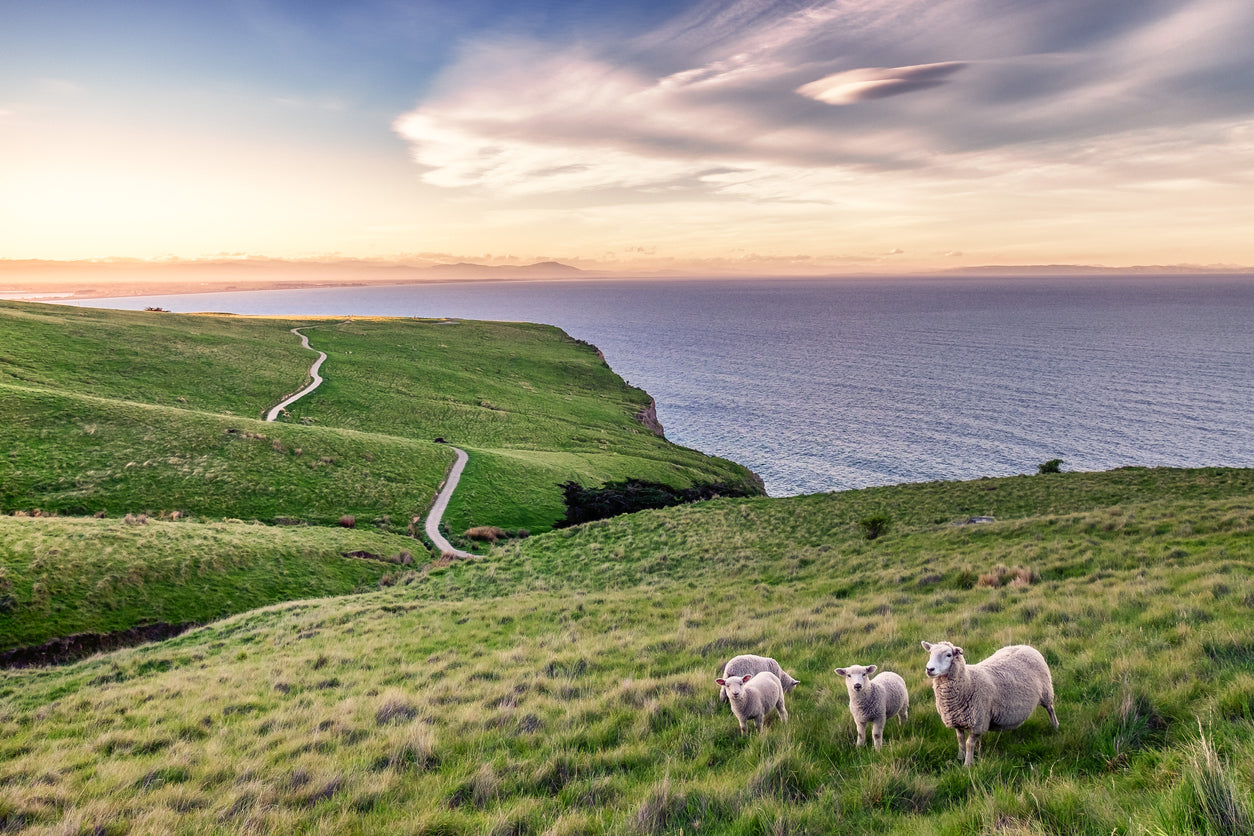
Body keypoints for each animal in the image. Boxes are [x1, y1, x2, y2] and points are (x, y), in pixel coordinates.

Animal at [922, 641, 1058, 767]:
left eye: (949, 655)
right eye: (930, 653)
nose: (929, 669)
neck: (968, 682)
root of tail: (1026, 646)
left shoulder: (978, 722)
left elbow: (969, 744)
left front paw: (967, 764)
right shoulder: (957, 720)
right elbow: (960, 740)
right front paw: (960, 757)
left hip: (1046, 691)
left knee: (1050, 708)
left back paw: (1055, 726)